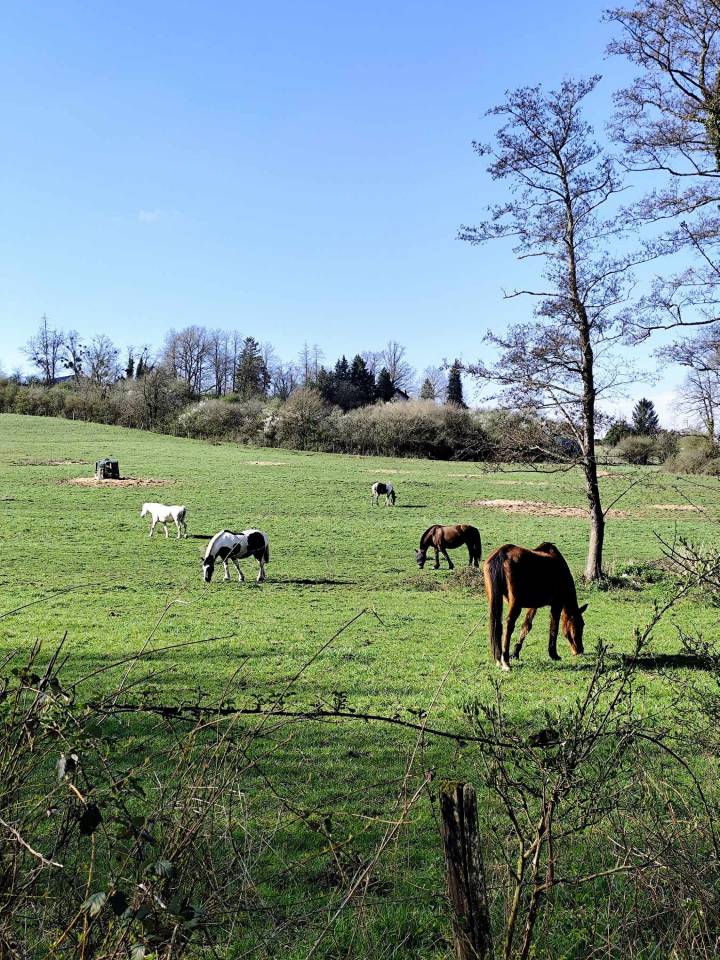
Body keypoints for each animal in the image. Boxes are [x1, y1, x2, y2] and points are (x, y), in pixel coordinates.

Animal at [484, 542, 587, 671]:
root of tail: (502, 553)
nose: (580, 650)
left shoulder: (533, 606)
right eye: (579, 625)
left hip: (494, 601)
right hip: (515, 605)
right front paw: (553, 654)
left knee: (497, 624)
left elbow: (526, 626)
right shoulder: (556, 605)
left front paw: (515, 653)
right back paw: (505, 662)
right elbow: (554, 627)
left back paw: (499, 659)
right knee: (508, 624)